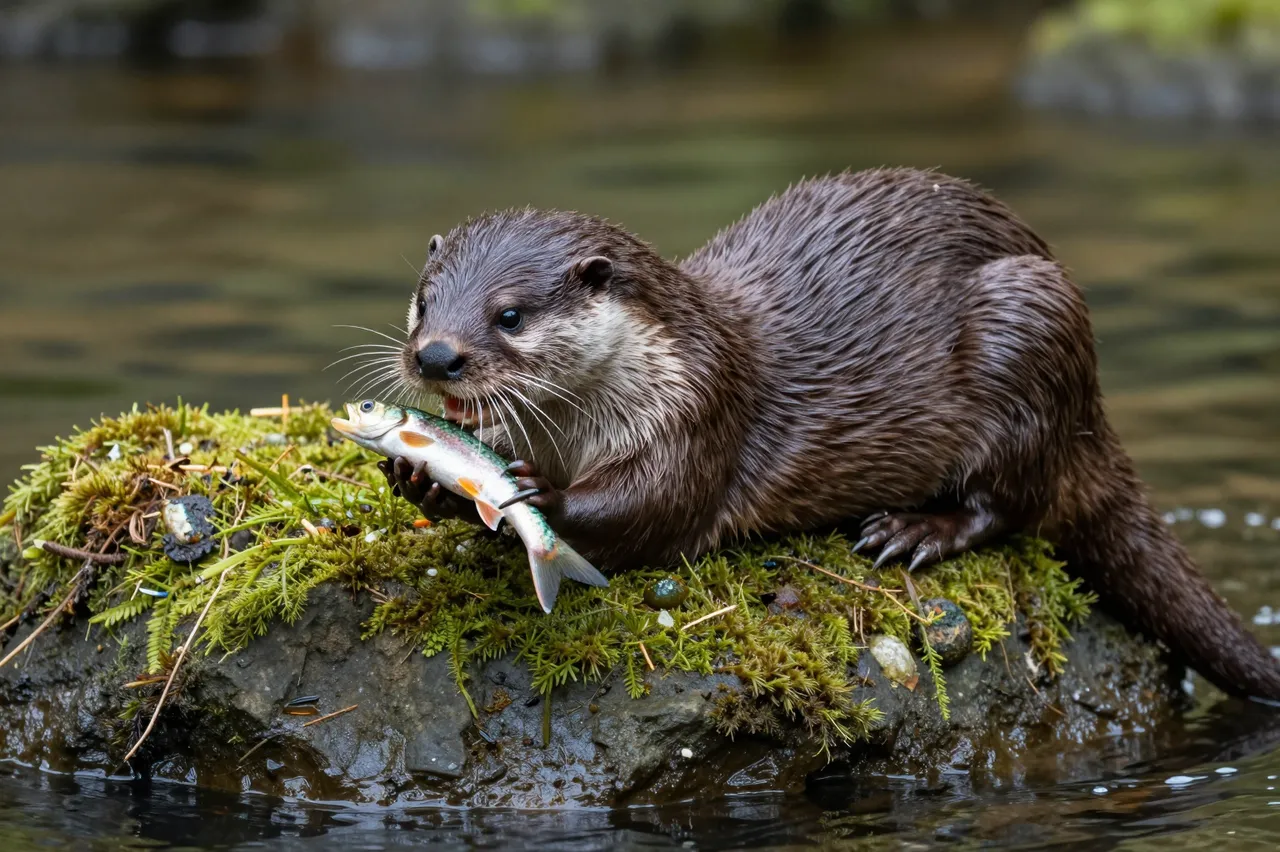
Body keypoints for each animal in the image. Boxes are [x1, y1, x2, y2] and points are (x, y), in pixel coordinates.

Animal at [376, 167, 1280, 702]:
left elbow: (652, 511)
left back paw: (913, 532)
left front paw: (535, 494)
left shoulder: (699, 412)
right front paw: (423, 477)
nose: (435, 355)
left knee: (1013, 505)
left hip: (1030, 329)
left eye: (510, 315)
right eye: (424, 298)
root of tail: (1093, 404)